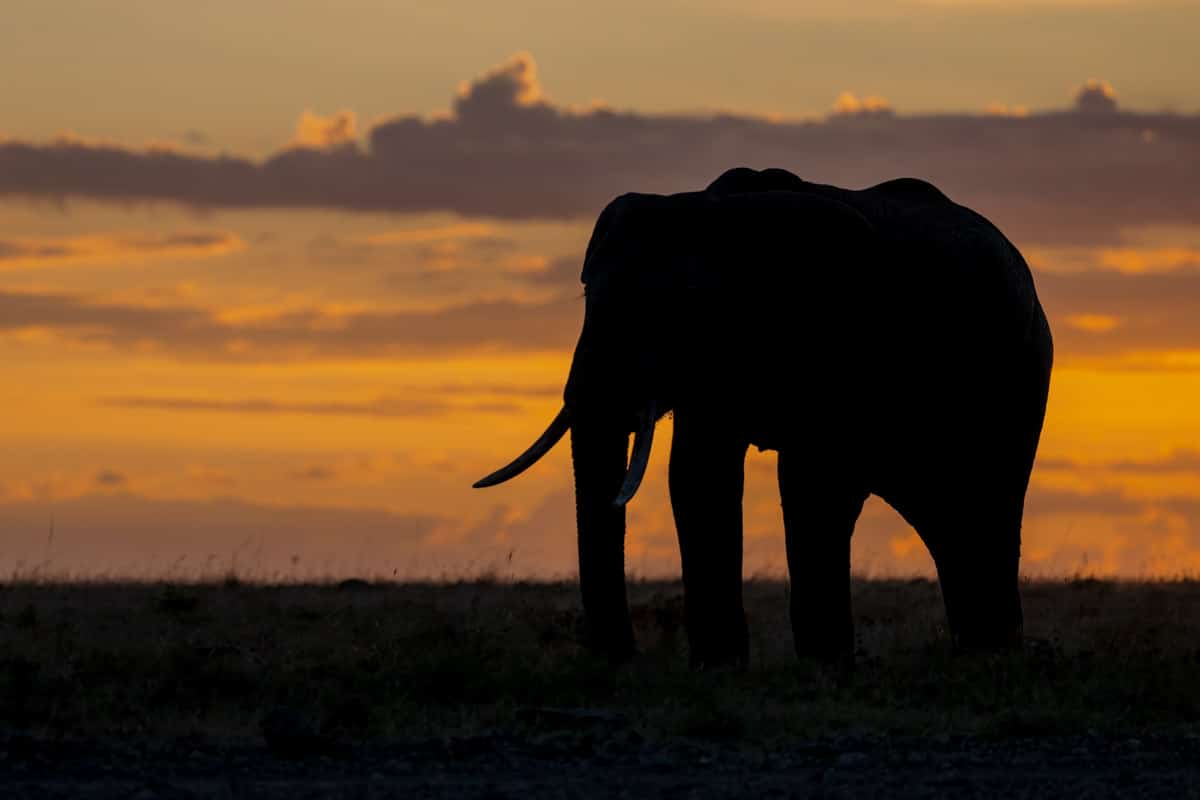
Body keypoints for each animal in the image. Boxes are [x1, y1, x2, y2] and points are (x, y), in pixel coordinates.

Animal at [472, 167, 1056, 671]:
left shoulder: (842, 335)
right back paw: (984, 650)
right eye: (586, 292)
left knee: (984, 498)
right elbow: (698, 473)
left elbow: (812, 480)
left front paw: (823, 666)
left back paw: (992, 655)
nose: (621, 660)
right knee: (945, 513)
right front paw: (721, 667)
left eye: (680, 307)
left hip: (1019, 372)